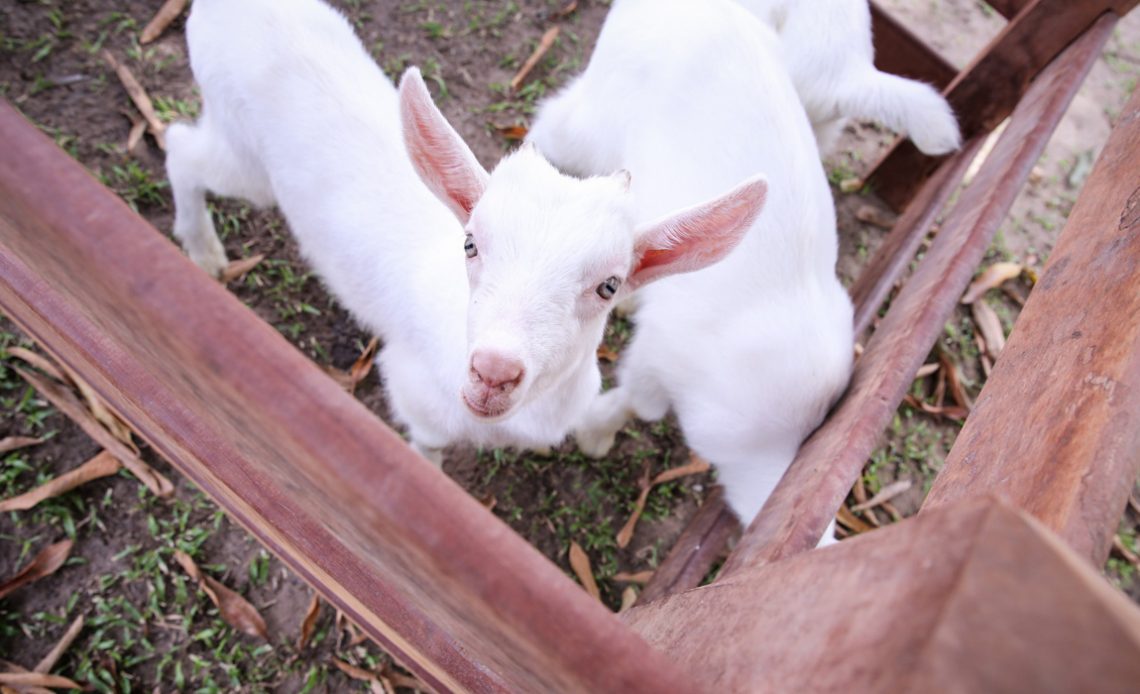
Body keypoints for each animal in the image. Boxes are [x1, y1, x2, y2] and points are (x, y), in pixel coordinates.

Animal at [163, 0, 766, 460]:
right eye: (471, 243)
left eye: (609, 286)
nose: (493, 373)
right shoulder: (414, 395)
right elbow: (427, 449)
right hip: (243, 154)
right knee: (179, 147)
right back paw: (203, 250)